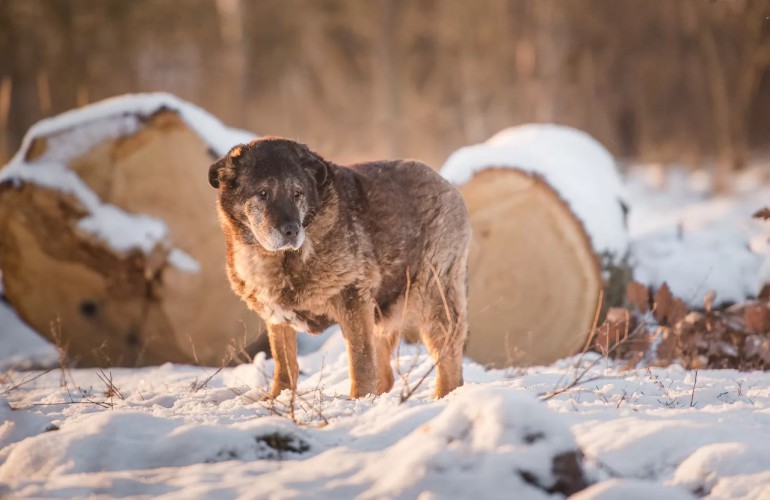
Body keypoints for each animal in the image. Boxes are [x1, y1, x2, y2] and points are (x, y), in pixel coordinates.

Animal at [207, 139, 468, 400]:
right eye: (263, 193)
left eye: (297, 194)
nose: (292, 230)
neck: (277, 258)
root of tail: (444, 181)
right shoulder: (278, 319)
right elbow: (284, 365)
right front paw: (278, 399)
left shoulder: (352, 299)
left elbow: (360, 363)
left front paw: (358, 401)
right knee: (387, 376)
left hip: (433, 299)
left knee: (448, 365)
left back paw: (440, 397)